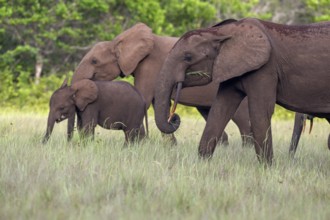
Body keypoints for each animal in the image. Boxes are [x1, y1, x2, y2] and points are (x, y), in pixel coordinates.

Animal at [71, 22, 253, 146]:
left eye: (94, 61)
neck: (120, 42)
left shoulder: (150, 65)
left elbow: (144, 99)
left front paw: (140, 144)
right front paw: (170, 147)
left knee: (242, 119)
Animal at [154, 18, 330, 164]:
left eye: (188, 57)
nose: (173, 117)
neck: (223, 32)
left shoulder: (265, 68)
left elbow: (260, 111)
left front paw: (267, 169)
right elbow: (219, 110)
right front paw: (202, 164)